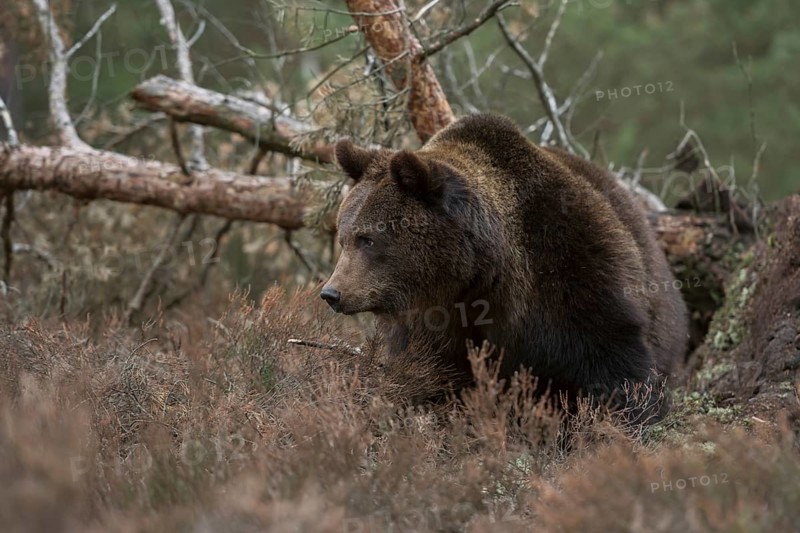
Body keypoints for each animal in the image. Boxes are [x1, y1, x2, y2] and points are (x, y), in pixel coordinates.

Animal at [322, 113, 688, 422]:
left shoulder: (570, 270)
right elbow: (429, 374)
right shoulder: (432, 325)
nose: (332, 293)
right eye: (344, 236)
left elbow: (613, 361)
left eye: (368, 239)